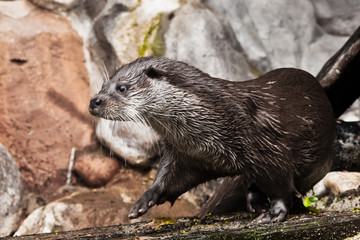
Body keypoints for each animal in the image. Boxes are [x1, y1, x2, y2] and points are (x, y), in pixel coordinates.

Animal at [89, 56, 334, 223]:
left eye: (122, 88)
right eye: (102, 86)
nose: (94, 101)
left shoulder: (268, 149)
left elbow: (281, 183)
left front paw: (274, 213)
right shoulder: (187, 156)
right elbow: (169, 180)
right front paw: (144, 200)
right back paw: (255, 201)